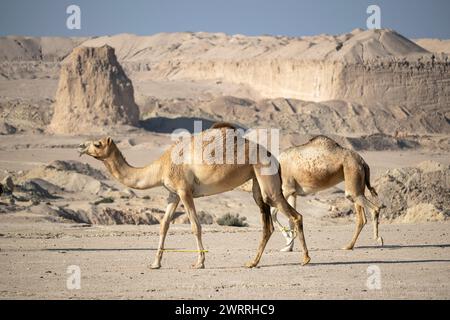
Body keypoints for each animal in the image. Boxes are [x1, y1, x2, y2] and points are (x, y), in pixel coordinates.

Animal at [78, 124, 310, 268]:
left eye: (97, 144)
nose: (80, 146)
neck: (160, 166)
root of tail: (274, 157)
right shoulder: (172, 194)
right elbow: (163, 225)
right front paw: (155, 263)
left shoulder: (184, 191)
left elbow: (195, 226)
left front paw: (199, 262)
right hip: (256, 181)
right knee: (268, 223)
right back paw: (252, 262)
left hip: (265, 177)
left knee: (294, 215)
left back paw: (305, 259)